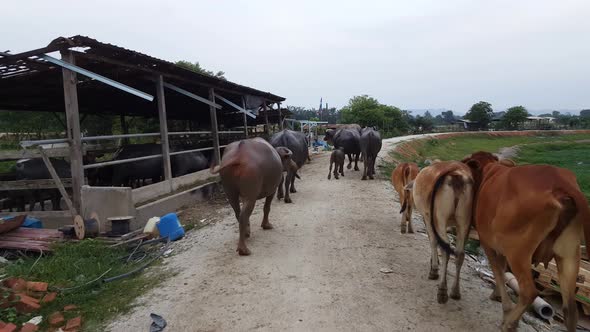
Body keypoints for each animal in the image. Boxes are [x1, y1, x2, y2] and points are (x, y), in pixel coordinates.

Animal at [412, 161, 476, 304]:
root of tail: (455, 172)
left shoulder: (427, 217)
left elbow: (433, 241)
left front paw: (434, 269)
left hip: (439, 218)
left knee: (445, 249)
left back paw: (442, 291)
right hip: (464, 221)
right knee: (459, 253)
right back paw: (455, 291)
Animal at [462, 152, 590, 330]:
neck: (488, 172)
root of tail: (561, 182)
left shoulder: (488, 243)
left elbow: (498, 272)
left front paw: (505, 307)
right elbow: (502, 271)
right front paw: (497, 295)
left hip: (518, 252)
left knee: (529, 291)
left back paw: (510, 323)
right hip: (569, 254)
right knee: (570, 308)